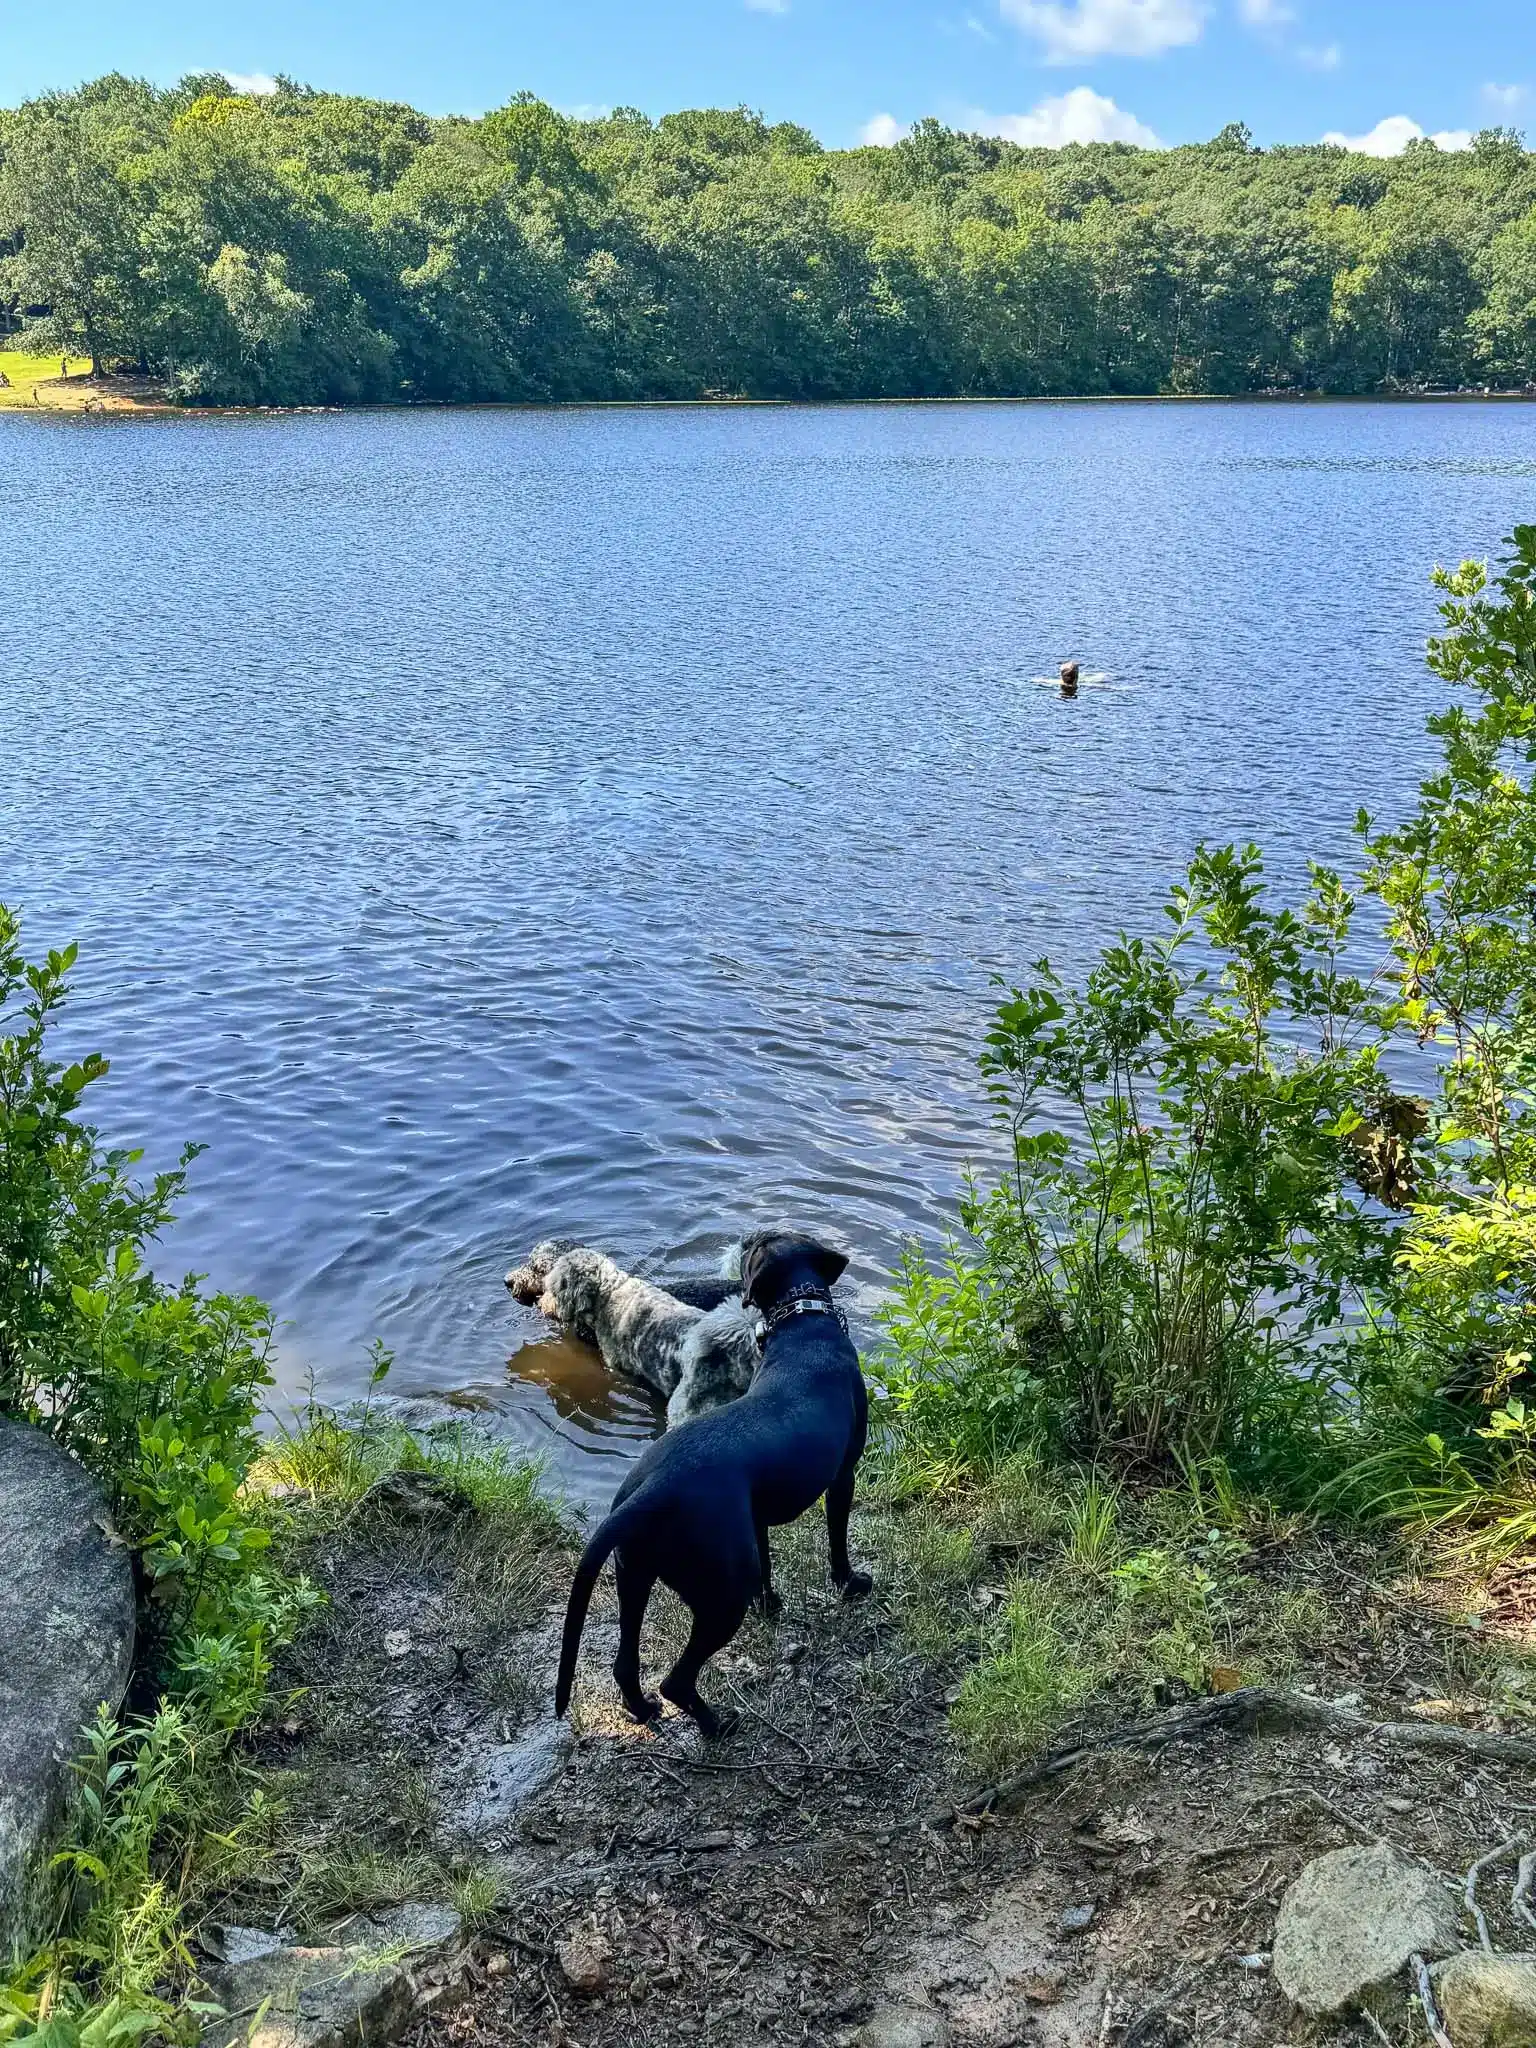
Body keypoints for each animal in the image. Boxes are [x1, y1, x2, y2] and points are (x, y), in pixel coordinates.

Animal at [552, 1220, 872, 1736]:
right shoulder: (843, 1476)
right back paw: (717, 1725)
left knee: (626, 1667)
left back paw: (644, 1709)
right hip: (721, 1597)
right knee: (676, 1680)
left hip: (634, 1576)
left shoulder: (755, 1518)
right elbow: (837, 1542)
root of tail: (646, 1493)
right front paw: (849, 1583)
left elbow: (767, 1567)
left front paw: (772, 1606)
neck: (803, 1329)